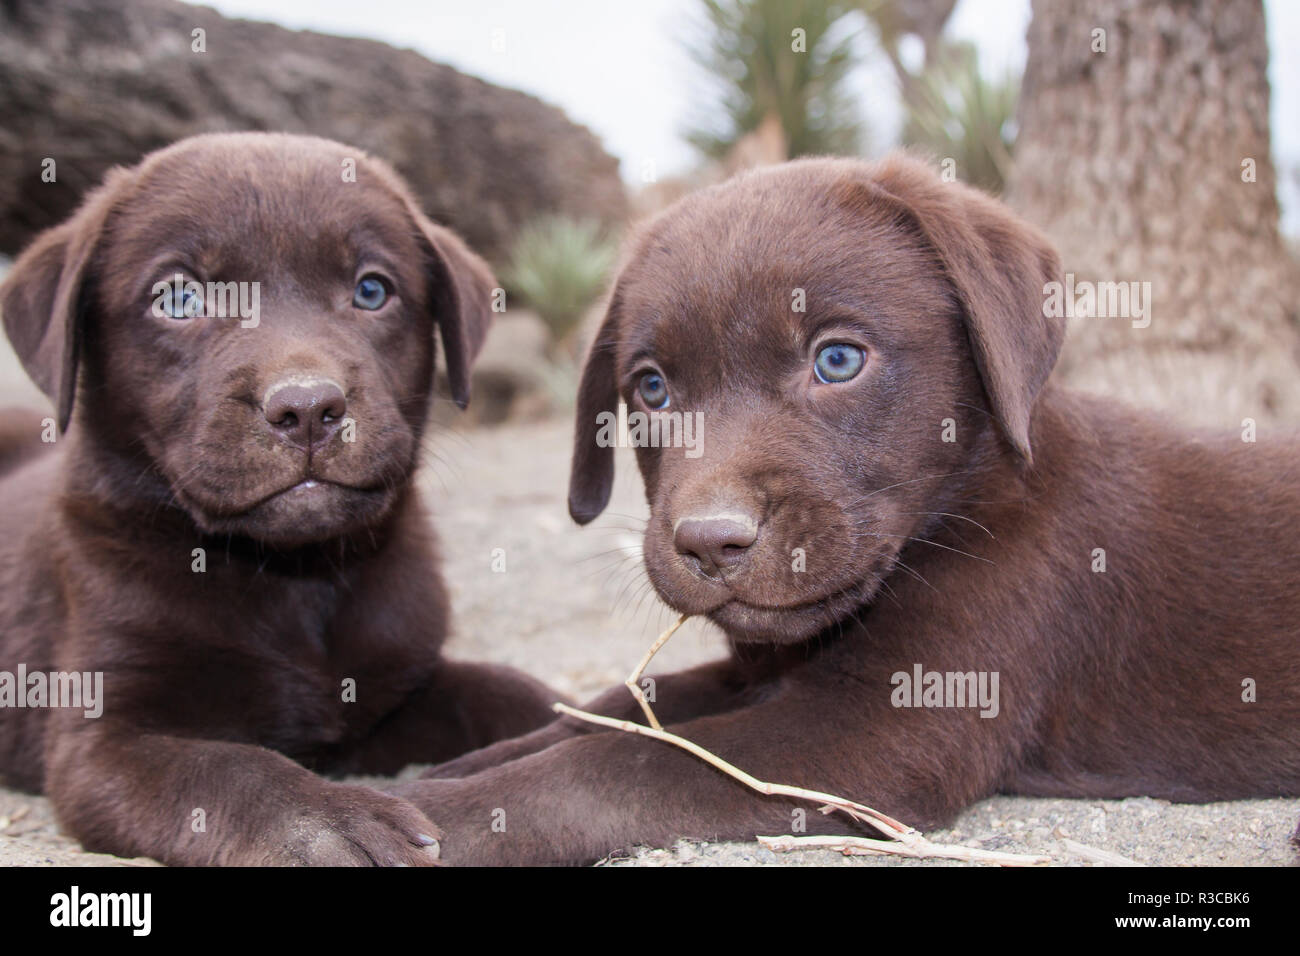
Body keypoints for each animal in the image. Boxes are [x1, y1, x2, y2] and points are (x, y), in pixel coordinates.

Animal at [0, 134, 559, 868]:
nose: (308, 409)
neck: (296, 576)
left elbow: (513, 690)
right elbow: (230, 768)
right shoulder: (102, 737)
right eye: (178, 298)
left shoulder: (394, 688)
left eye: (372, 290)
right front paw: (333, 825)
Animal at [395, 151, 1300, 868]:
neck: (967, 501)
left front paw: (421, 820)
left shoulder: (876, 733)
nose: (710, 543)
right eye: (651, 388)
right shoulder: (755, 666)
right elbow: (615, 710)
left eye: (836, 360)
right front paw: (452, 769)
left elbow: (621, 764)